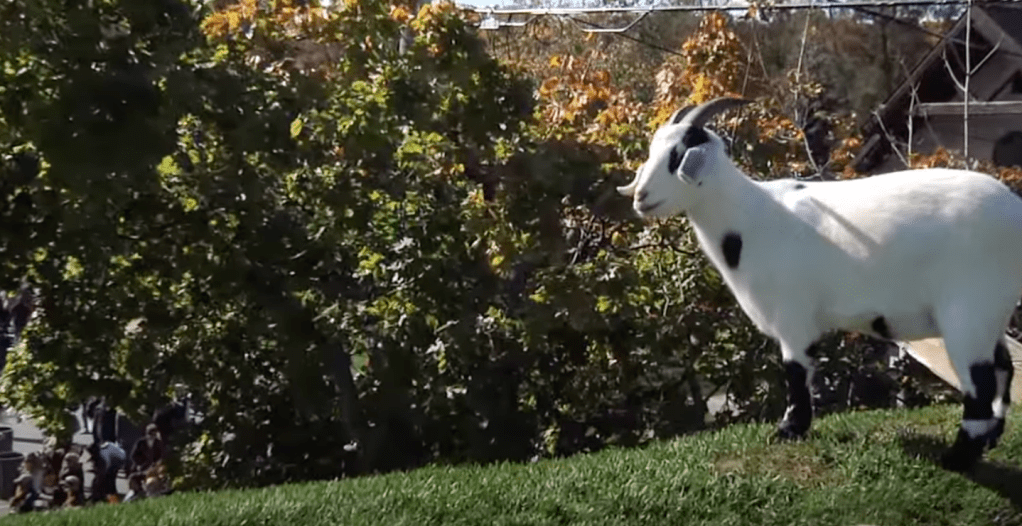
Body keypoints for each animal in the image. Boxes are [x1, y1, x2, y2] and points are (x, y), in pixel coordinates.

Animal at [613, 96, 1021, 471]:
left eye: (678, 155)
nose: (641, 198)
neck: (751, 217)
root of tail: (1014, 210)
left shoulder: (793, 313)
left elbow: (795, 371)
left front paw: (788, 430)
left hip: (968, 306)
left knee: (979, 384)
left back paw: (957, 458)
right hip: (991, 309)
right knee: (1003, 368)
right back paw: (990, 439)